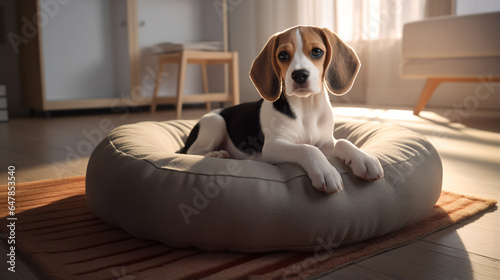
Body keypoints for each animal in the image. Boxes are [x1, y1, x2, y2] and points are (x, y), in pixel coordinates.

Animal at [182, 26, 384, 195]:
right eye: (283, 55)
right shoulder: (273, 146)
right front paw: (325, 170)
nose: (300, 75)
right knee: (191, 151)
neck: (307, 108)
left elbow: (343, 142)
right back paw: (216, 154)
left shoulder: (325, 142)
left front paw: (363, 159)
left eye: (317, 52)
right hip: (214, 123)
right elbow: (307, 149)